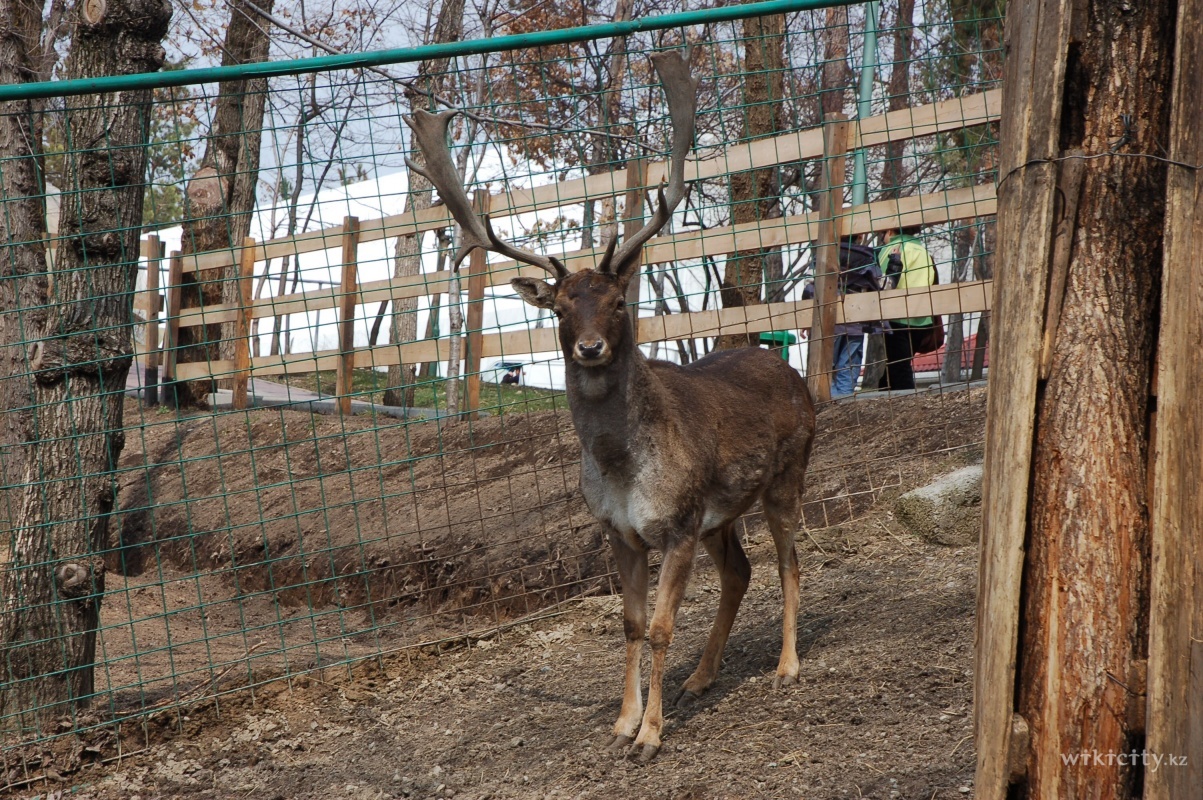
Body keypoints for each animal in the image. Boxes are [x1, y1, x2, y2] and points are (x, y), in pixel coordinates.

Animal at [404, 49, 818, 760]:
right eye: (560, 307)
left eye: (620, 300)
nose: (591, 347)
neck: (622, 468)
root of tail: (790, 369)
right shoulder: (619, 531)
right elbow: (629, 623)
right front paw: (624, 720)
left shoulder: (676, 524)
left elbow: (660, 628)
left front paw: (649, 736)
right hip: (721, 513)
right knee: (741, 571)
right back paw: (701, 679)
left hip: (787, 475)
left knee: (791, 560)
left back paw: (787, 667)